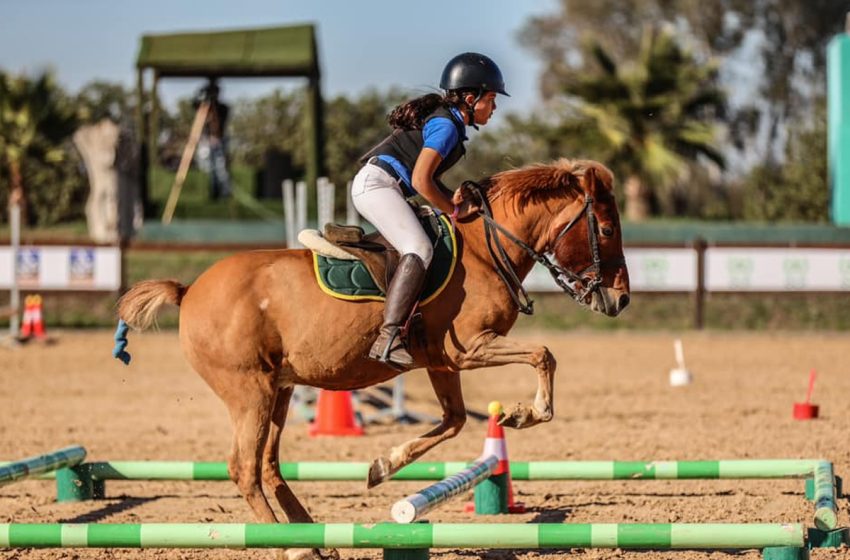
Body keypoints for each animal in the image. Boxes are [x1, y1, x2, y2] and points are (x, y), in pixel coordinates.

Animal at [116, 158, 628, 560]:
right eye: (605, 229)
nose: (620, 299)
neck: (487, 250)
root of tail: (189, 291)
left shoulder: (441, 363)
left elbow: (455, 420)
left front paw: (383, 465)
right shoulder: (469, 349)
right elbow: (543, 355)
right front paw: (527, 413)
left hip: (278, 390)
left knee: (268, 466)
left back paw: (311, 539)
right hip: (249, 391)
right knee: (244, 467)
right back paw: (289, 545)